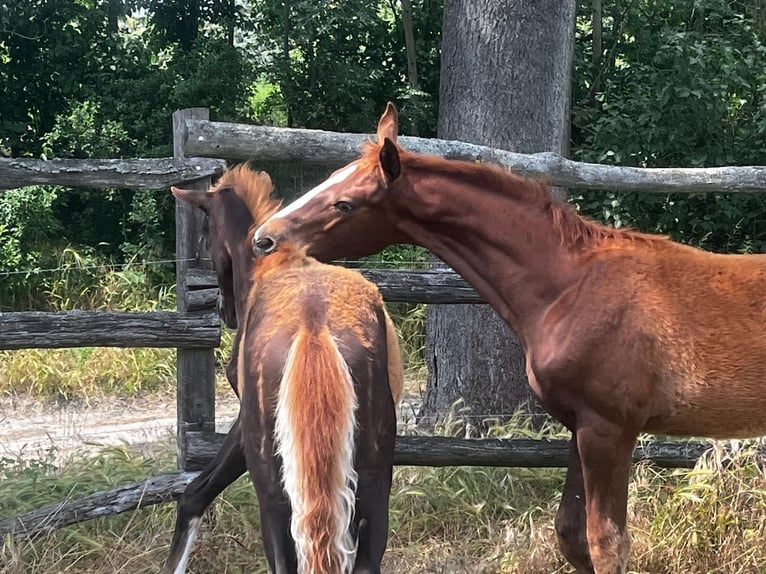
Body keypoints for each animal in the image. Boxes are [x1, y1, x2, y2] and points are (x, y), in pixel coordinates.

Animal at [166, 166, 404, 574]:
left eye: (204, 233)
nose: (225, 311)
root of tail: (313, 325)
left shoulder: (242, 428)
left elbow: (194, 495)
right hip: (373, 484)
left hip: (273, 492)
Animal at [255, 106, 766, 572]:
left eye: (344, 203)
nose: (264, 239)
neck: (568, 289)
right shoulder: (579, 426)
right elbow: (570, 534)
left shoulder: (608, 429)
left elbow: (606, 543)